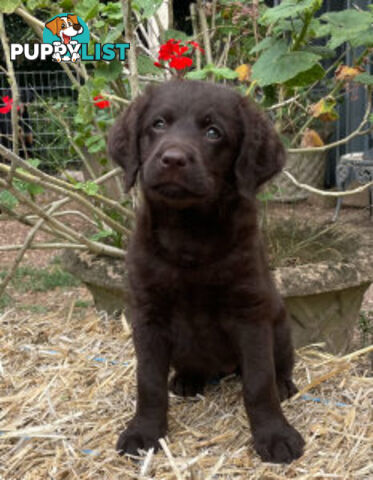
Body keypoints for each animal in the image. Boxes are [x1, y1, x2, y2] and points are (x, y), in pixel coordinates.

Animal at [107, 80, 302, 464]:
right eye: (158, 125)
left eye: (214, 132)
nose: (172, 159)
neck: (189, 233)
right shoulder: (148, 315)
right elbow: (148, 381)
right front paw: (143, 432)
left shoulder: (250, 314)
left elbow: (259, 383)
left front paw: (275, 435)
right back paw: (187, 380)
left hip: (280, 326)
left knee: (279, 365)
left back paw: (285, 383)